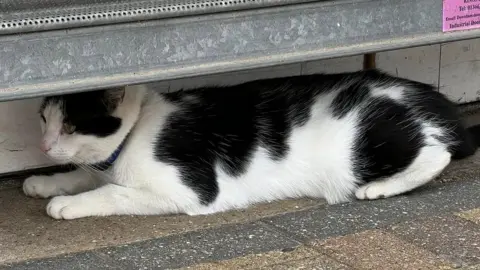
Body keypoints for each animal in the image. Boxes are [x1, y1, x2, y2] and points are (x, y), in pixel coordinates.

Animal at [22, 69, 480, 219]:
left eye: (70, 127)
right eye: (44, 120)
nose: (43, 147)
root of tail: (434, 99)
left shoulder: (190, 189)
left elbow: (113, 192)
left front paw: (66, 205)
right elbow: (83, 175)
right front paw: (46, 183)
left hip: (367, 144)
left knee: (439, 153)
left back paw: (379, 188)